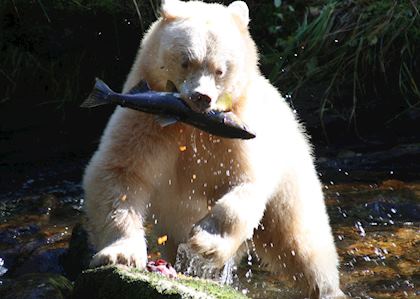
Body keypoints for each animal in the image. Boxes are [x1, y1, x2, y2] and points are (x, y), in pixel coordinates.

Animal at [82, 1, 344, 298]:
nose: (201, 97)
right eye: (185, 61)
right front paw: (121, 255)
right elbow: (120, 173)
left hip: (290, 175)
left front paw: (205, 242)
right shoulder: (143, 124)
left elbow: (245, 184)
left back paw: (327, 288)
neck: (191, 126)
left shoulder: (235, 139)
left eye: (221, 69)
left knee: (300, 240)